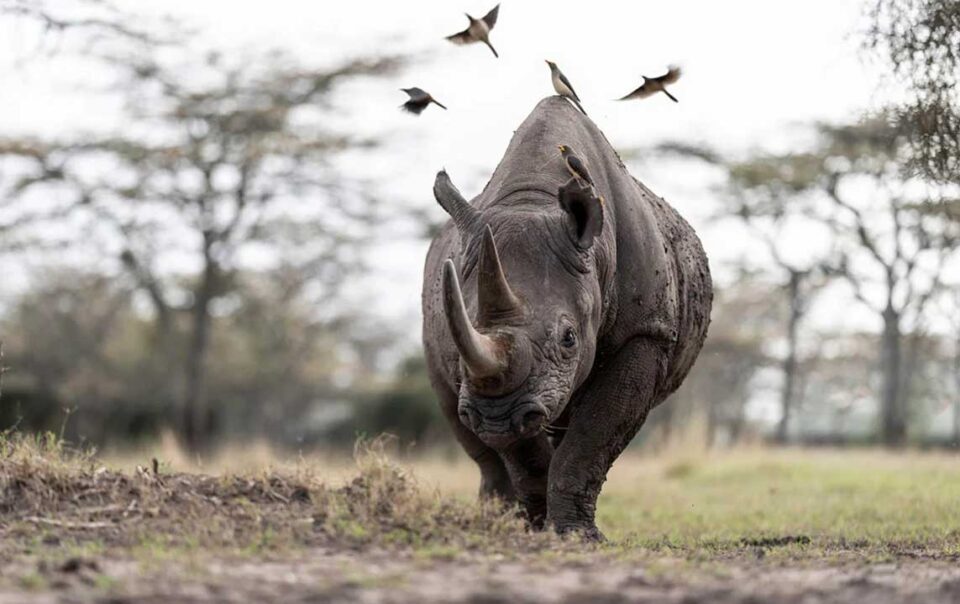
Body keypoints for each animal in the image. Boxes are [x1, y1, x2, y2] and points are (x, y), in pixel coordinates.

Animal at [421, 96, 712, 539]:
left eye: (569, 338)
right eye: (457, 341)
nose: (495, 416)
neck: (532, 200)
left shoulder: (646, 333)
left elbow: (591, 438)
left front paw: (575, 535)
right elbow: (523, 453)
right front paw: (538, 527)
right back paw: (497, 520)